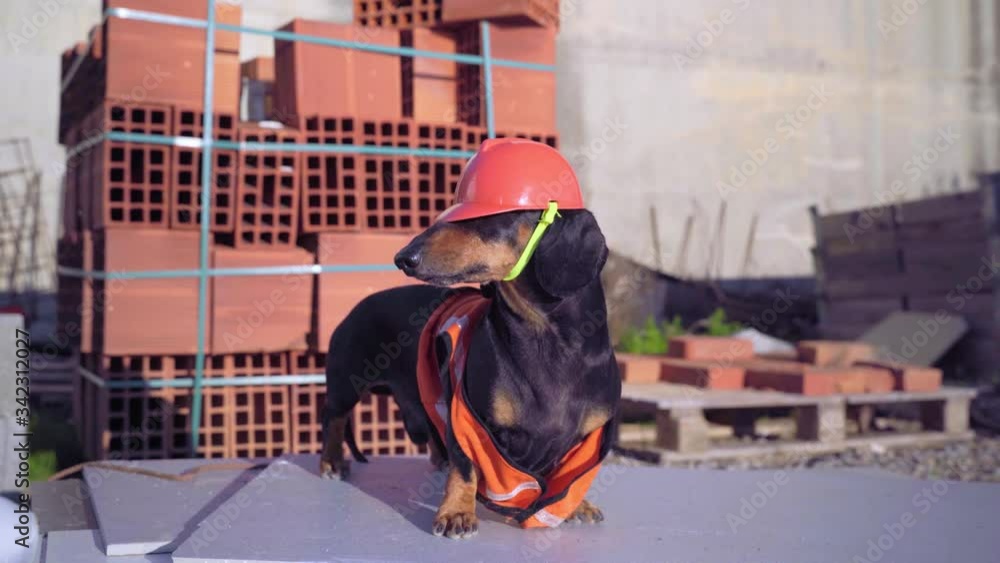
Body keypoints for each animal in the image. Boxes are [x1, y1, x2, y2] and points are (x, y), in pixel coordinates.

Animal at [322, 209, 616, 540]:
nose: (403, 258)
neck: (547, 341)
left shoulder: (585, 439)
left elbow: (568, 478)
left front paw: (578, 506)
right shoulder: (467, 417)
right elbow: (465, 465)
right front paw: (457, 512)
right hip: (346, 384)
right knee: (334, 418)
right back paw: (332, 462)